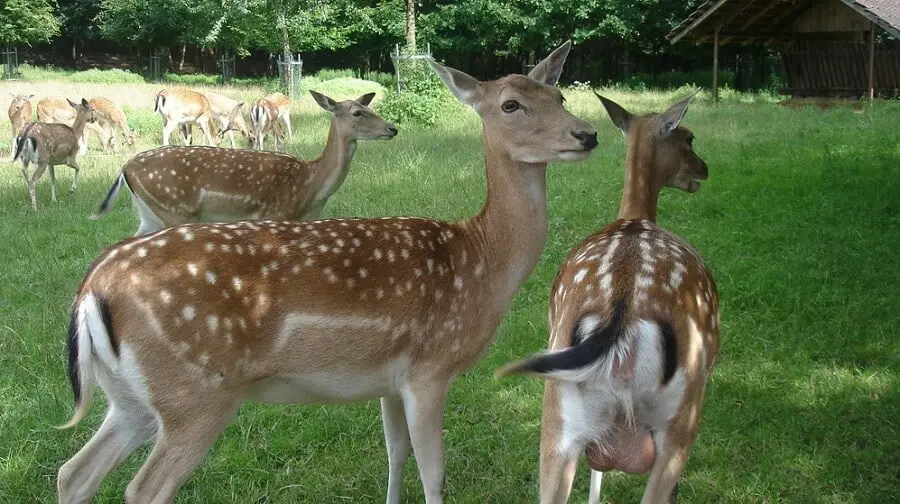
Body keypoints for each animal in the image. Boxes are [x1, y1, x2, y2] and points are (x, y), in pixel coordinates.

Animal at [91, 90, 398, 236]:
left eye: (370, 107)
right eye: (357, 112)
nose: (392, 128)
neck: (310, 188)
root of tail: (125, 169)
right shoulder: (274, 214)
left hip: (148, 213)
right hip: (174, 209)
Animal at [496, 91, 720, 504]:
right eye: (689, 138)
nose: (704, 169)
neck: (635, 215)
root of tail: (621, 316)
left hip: (559, 414)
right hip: (682, 413)